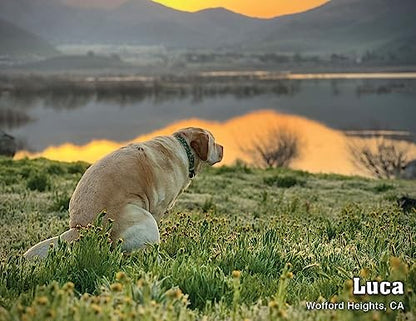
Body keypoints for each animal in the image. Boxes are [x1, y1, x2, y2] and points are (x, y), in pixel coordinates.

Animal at [24, 126, 223, 258]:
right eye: (214, 142)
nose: (223, 148)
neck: (184, 149)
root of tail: (80, 229)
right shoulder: (157, 208)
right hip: (142, 216)